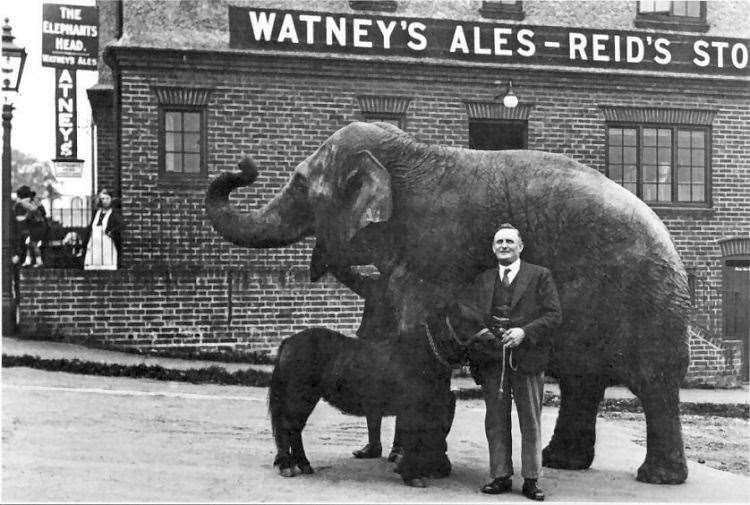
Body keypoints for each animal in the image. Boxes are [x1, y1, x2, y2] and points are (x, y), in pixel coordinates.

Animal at [206, 120, 692, 482]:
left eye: (300, 183)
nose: (243, 166)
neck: (410, 152)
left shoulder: (436, 251)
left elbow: (417, 322)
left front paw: (416, 464)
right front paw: (411, 459)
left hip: (649, 299)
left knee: (653, 380)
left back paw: (657, 477)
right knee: (582, 378)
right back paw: (563, 463)